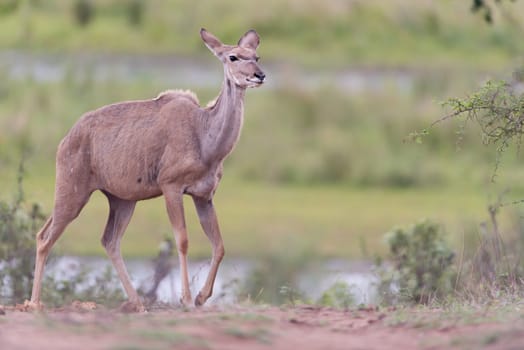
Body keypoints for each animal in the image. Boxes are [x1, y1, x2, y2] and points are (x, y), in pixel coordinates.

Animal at [29, 28, 266, 310]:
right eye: (233, 57)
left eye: (256, 56)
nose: (259, 75)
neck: (205, 137)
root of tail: (65, 140)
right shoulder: (171, 186)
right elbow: (182, 240)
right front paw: (187, 298)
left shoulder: (203, 195)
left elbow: (219, 245)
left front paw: (201, 297)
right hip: (73, 191)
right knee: (45, 237)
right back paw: (34, 303)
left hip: (121, 200)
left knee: (109, 240)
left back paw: (138, 303)